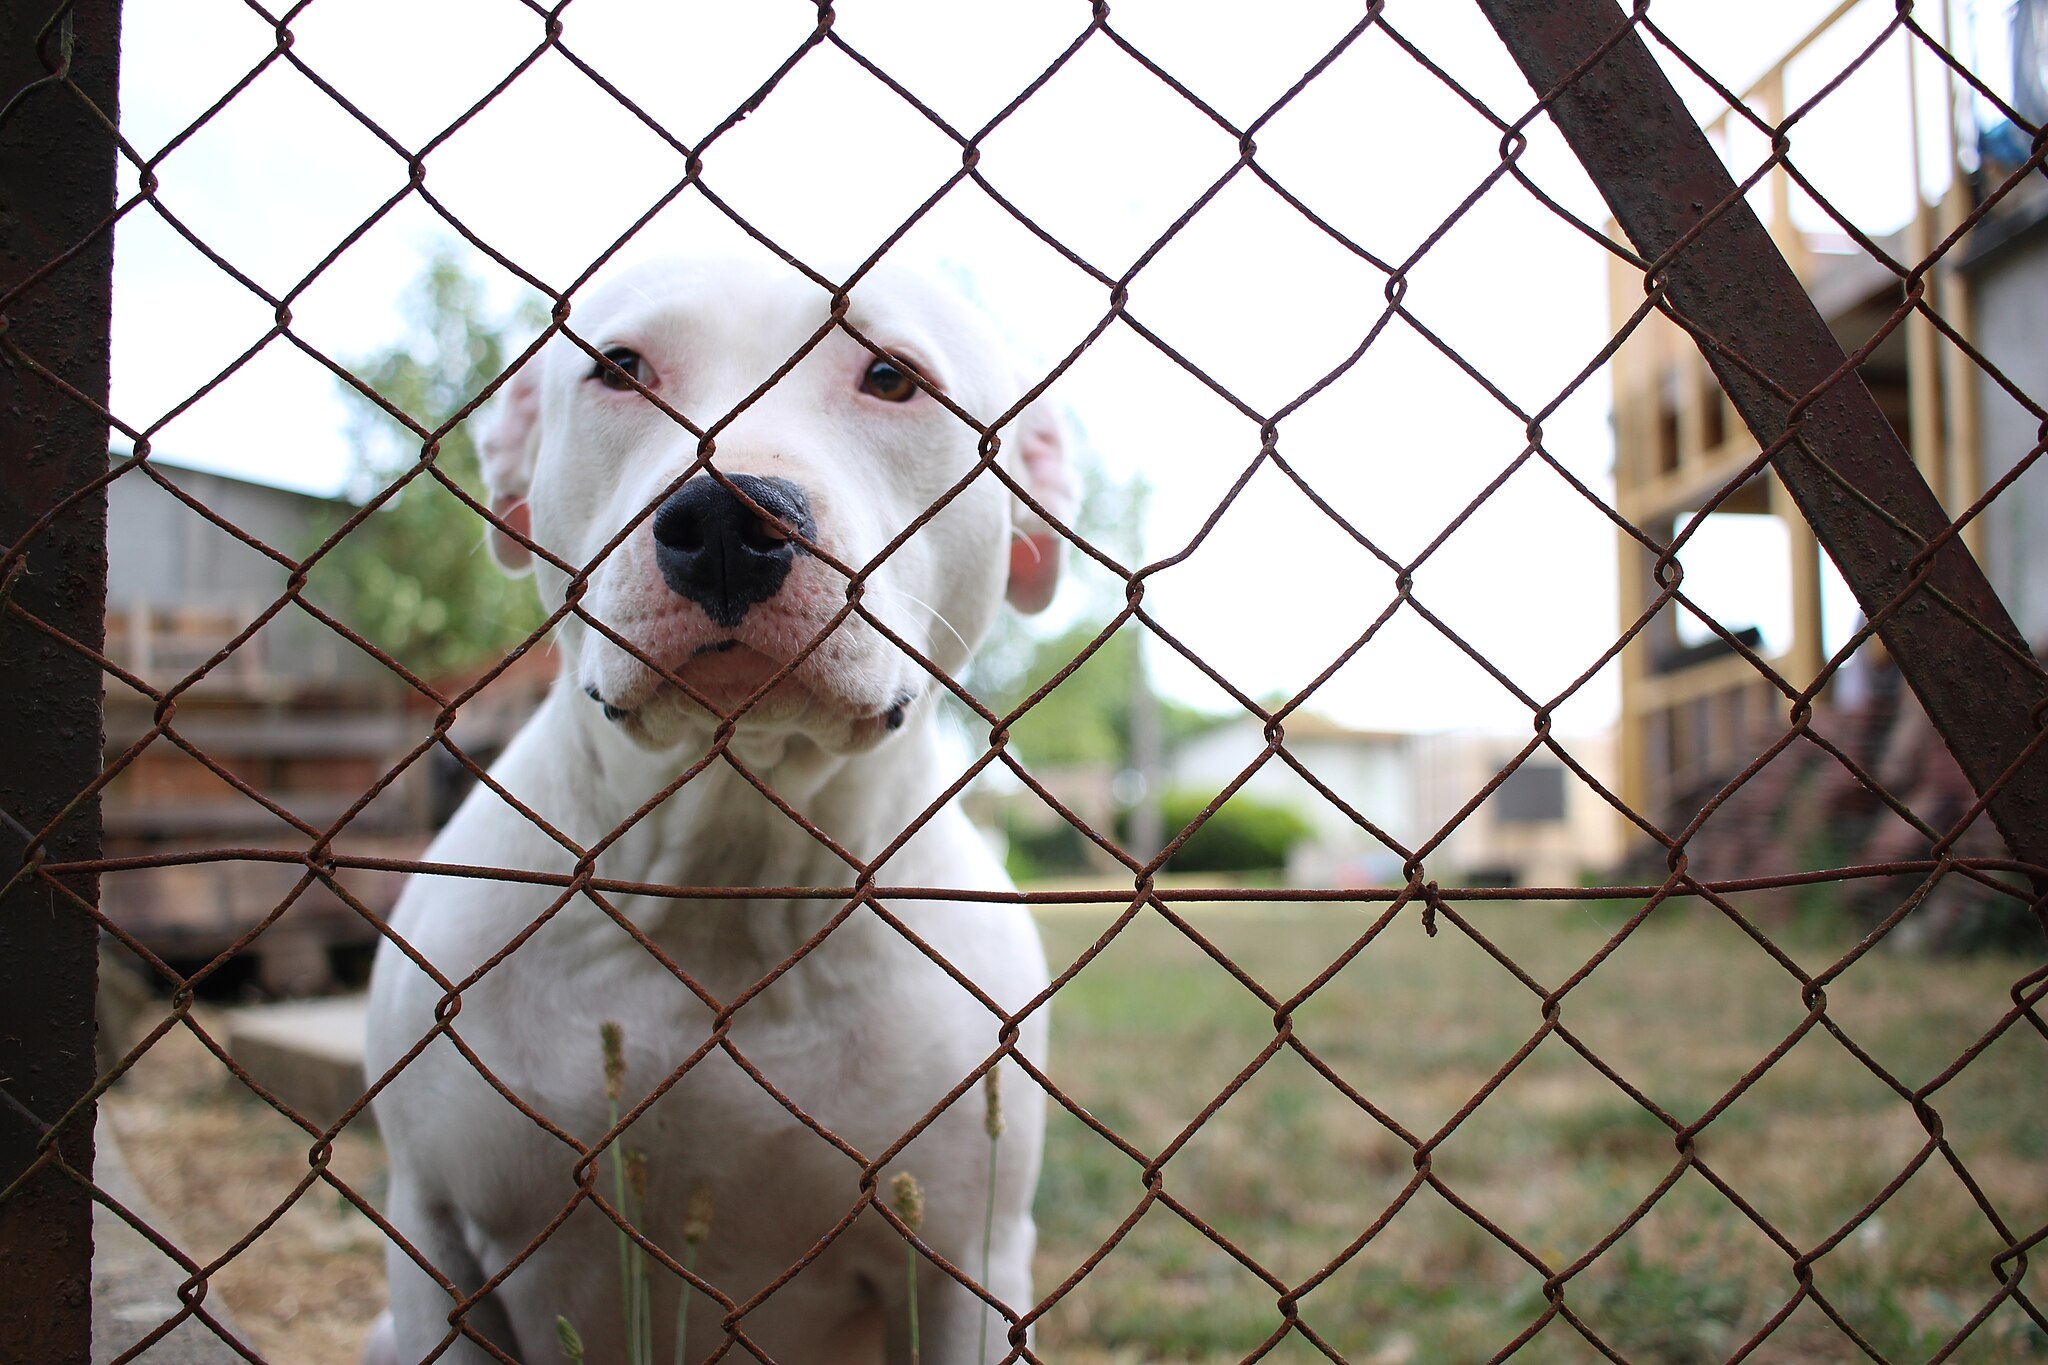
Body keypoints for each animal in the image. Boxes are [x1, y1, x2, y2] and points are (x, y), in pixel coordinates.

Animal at [362, 258, 1073, 1365]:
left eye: (891, 377)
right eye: (619, 368)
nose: (731, 522)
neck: (727, 876)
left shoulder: (966, 1264)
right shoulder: (434, 1239)